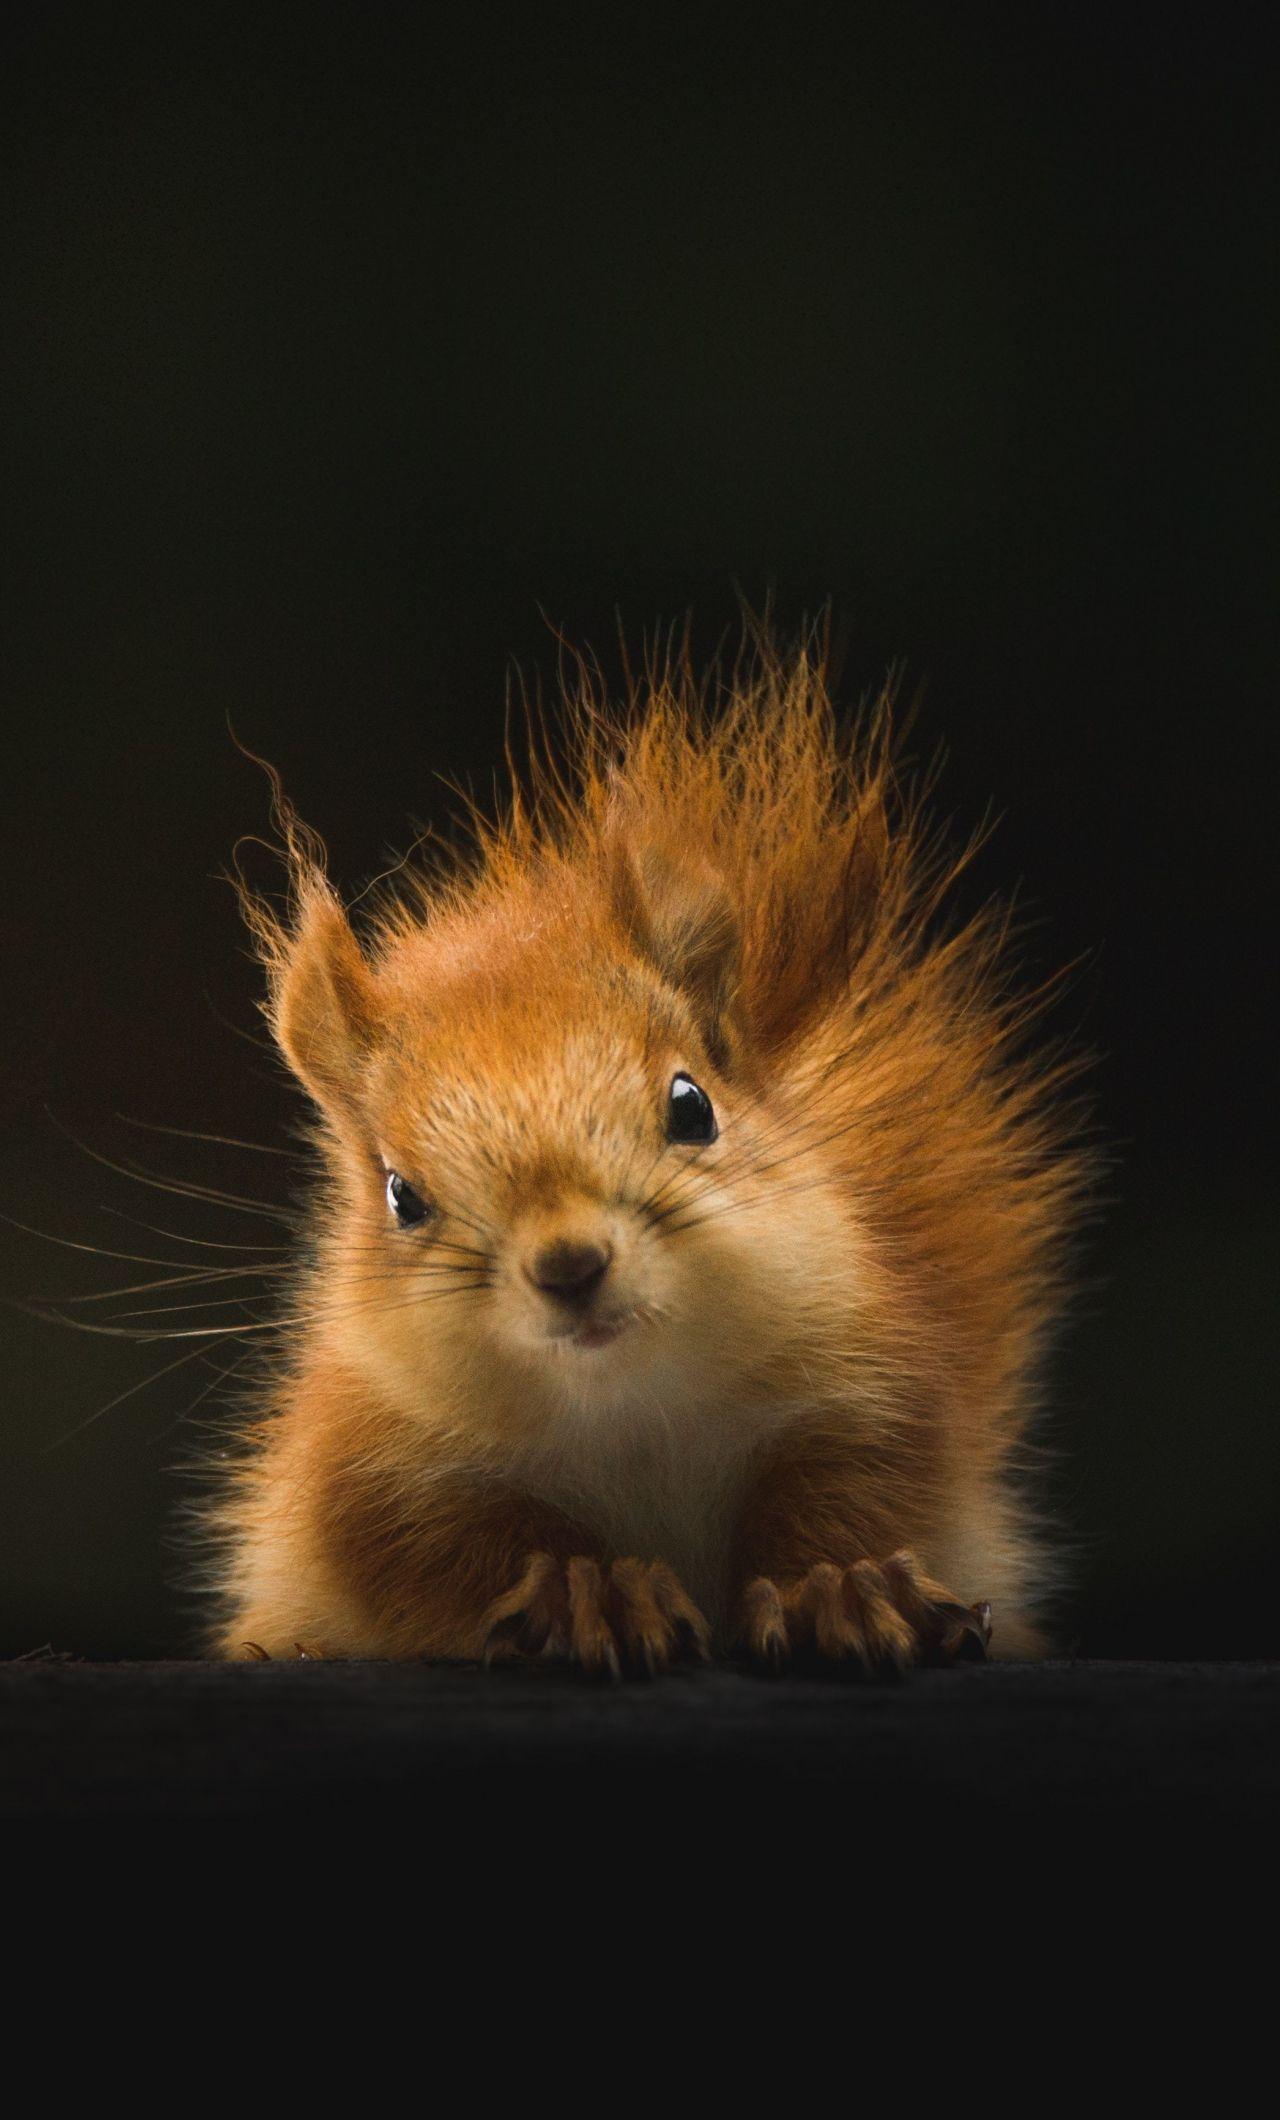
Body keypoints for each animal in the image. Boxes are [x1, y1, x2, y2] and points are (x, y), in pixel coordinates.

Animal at [205, 634, 1089, 1670]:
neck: (629, 1410)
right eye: (400, 1196)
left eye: (692, 1106)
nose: (569, 1264)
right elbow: (449, 1551)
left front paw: (841, 1586)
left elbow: (855, 1494)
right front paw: (590, 1592)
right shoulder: (370, 1470)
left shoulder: (870, 1386)